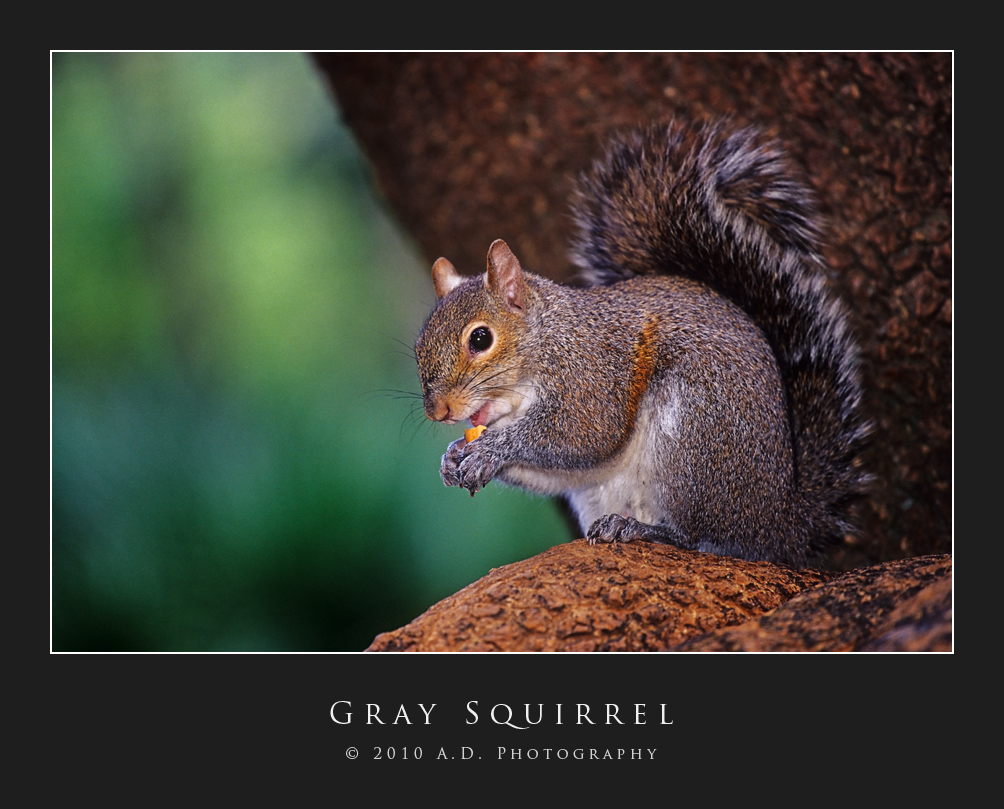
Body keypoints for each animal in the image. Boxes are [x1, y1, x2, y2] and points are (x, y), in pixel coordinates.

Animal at [414, 120, 869, 568]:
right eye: (419, 346)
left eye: (480, 338)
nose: (438, 411)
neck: (546, 341)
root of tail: (782, 520)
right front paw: (453, 457)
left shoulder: (591, 375)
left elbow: (582, 434)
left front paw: (491, 449)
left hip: (694, 439)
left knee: (698, 537)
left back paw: (641, 529)